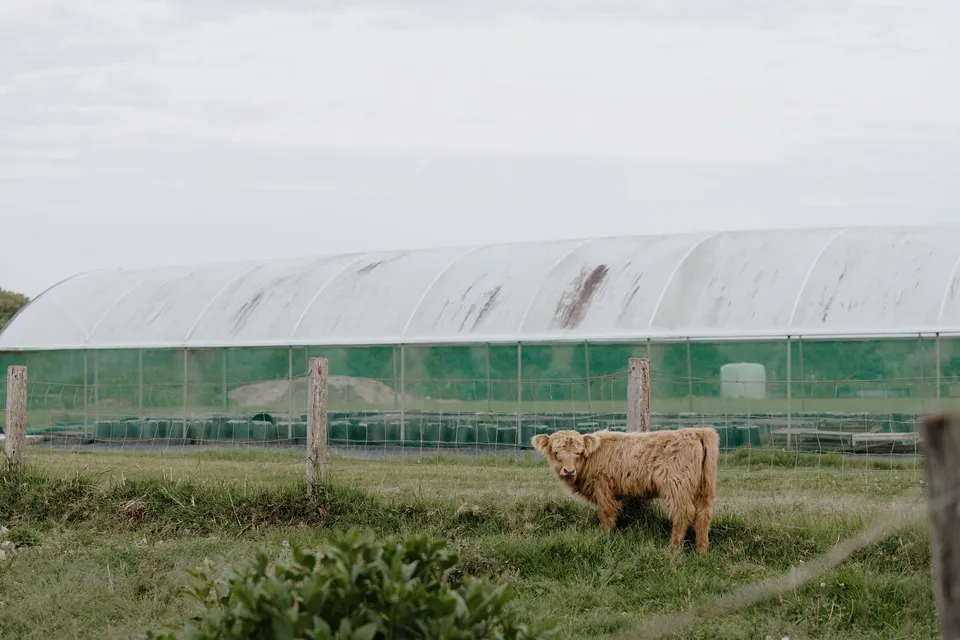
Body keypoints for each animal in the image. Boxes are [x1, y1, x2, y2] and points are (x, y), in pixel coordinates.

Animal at [531, 427, 719, 555]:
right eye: (556, 452)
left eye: (579, 452)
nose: (569, 470)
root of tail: (696, 432)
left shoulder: (603, 488)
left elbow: (605, 514)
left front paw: (605, 537)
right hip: (704, 488)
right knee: (703, 515)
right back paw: (702, 552)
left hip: (677, 485)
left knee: (683, 513)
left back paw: (673, 549)